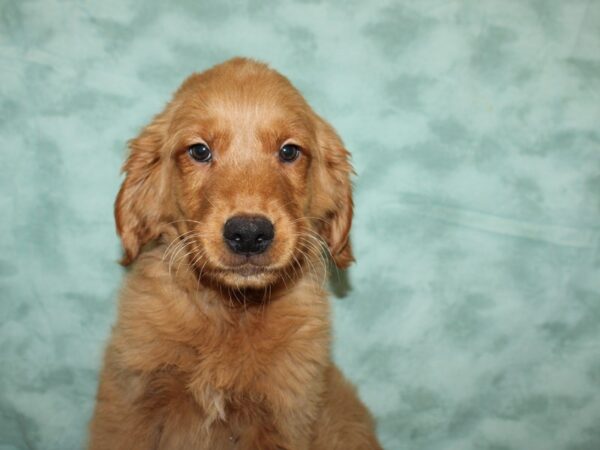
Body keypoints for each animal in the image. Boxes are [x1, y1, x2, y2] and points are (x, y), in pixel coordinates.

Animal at [88, 58, 380, 448]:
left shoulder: (285, 416)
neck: (230, 312)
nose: (249, 234)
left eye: (289, 151)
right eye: (199, 151)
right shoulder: (128, 404)